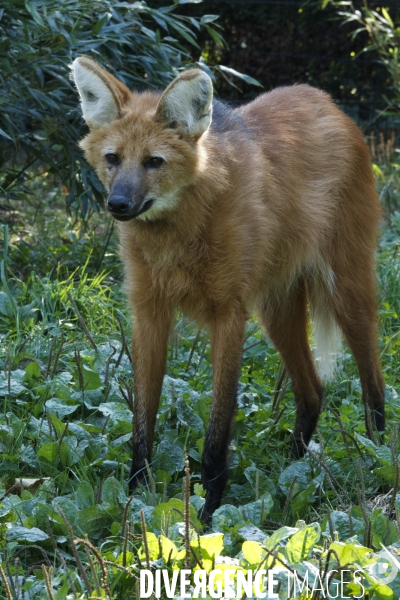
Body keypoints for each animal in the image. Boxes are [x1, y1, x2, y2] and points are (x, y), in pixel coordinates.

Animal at [72, 54, 384, 516]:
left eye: (153, 162)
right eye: (113, 158)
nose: (119, 204)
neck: (179, 229)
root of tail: (327, 102)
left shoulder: (228, 314)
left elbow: (218, 428)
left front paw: (207, 513)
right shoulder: (149, 313)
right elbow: (142, 419)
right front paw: (135, 498)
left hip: (345, 288)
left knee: (373, 383)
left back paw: (379, 458)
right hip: (276, 309)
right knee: (312, 391)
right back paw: (293, 471)